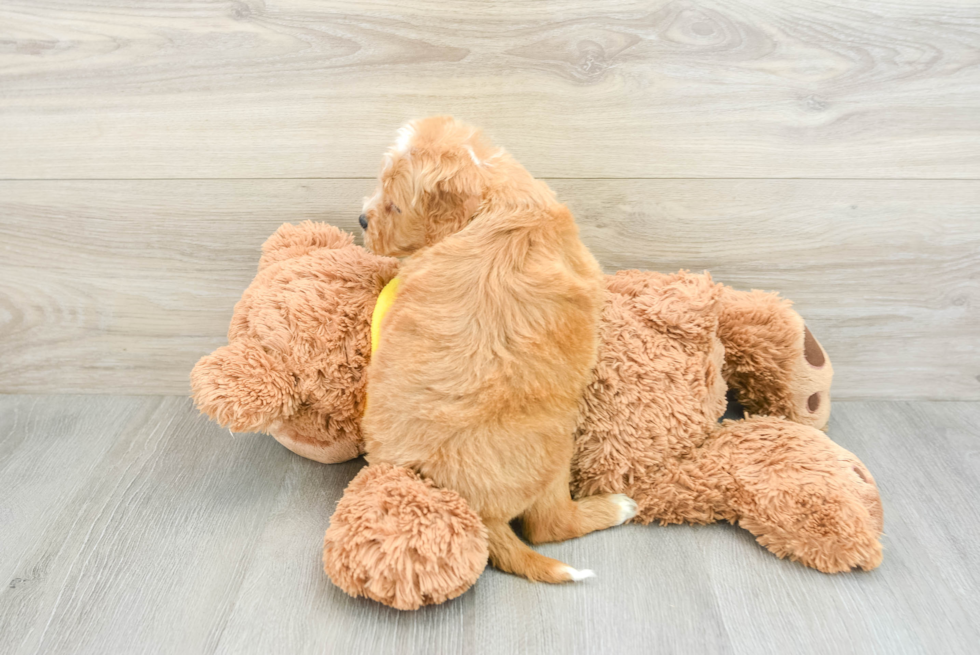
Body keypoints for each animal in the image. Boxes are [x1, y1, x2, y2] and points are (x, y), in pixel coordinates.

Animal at [360, 118, 636, 584]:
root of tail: (476, 513)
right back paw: (615, 507)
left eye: (394, 206)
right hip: (556, 451)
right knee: (548, 525)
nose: (362, 219)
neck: (494, 201)